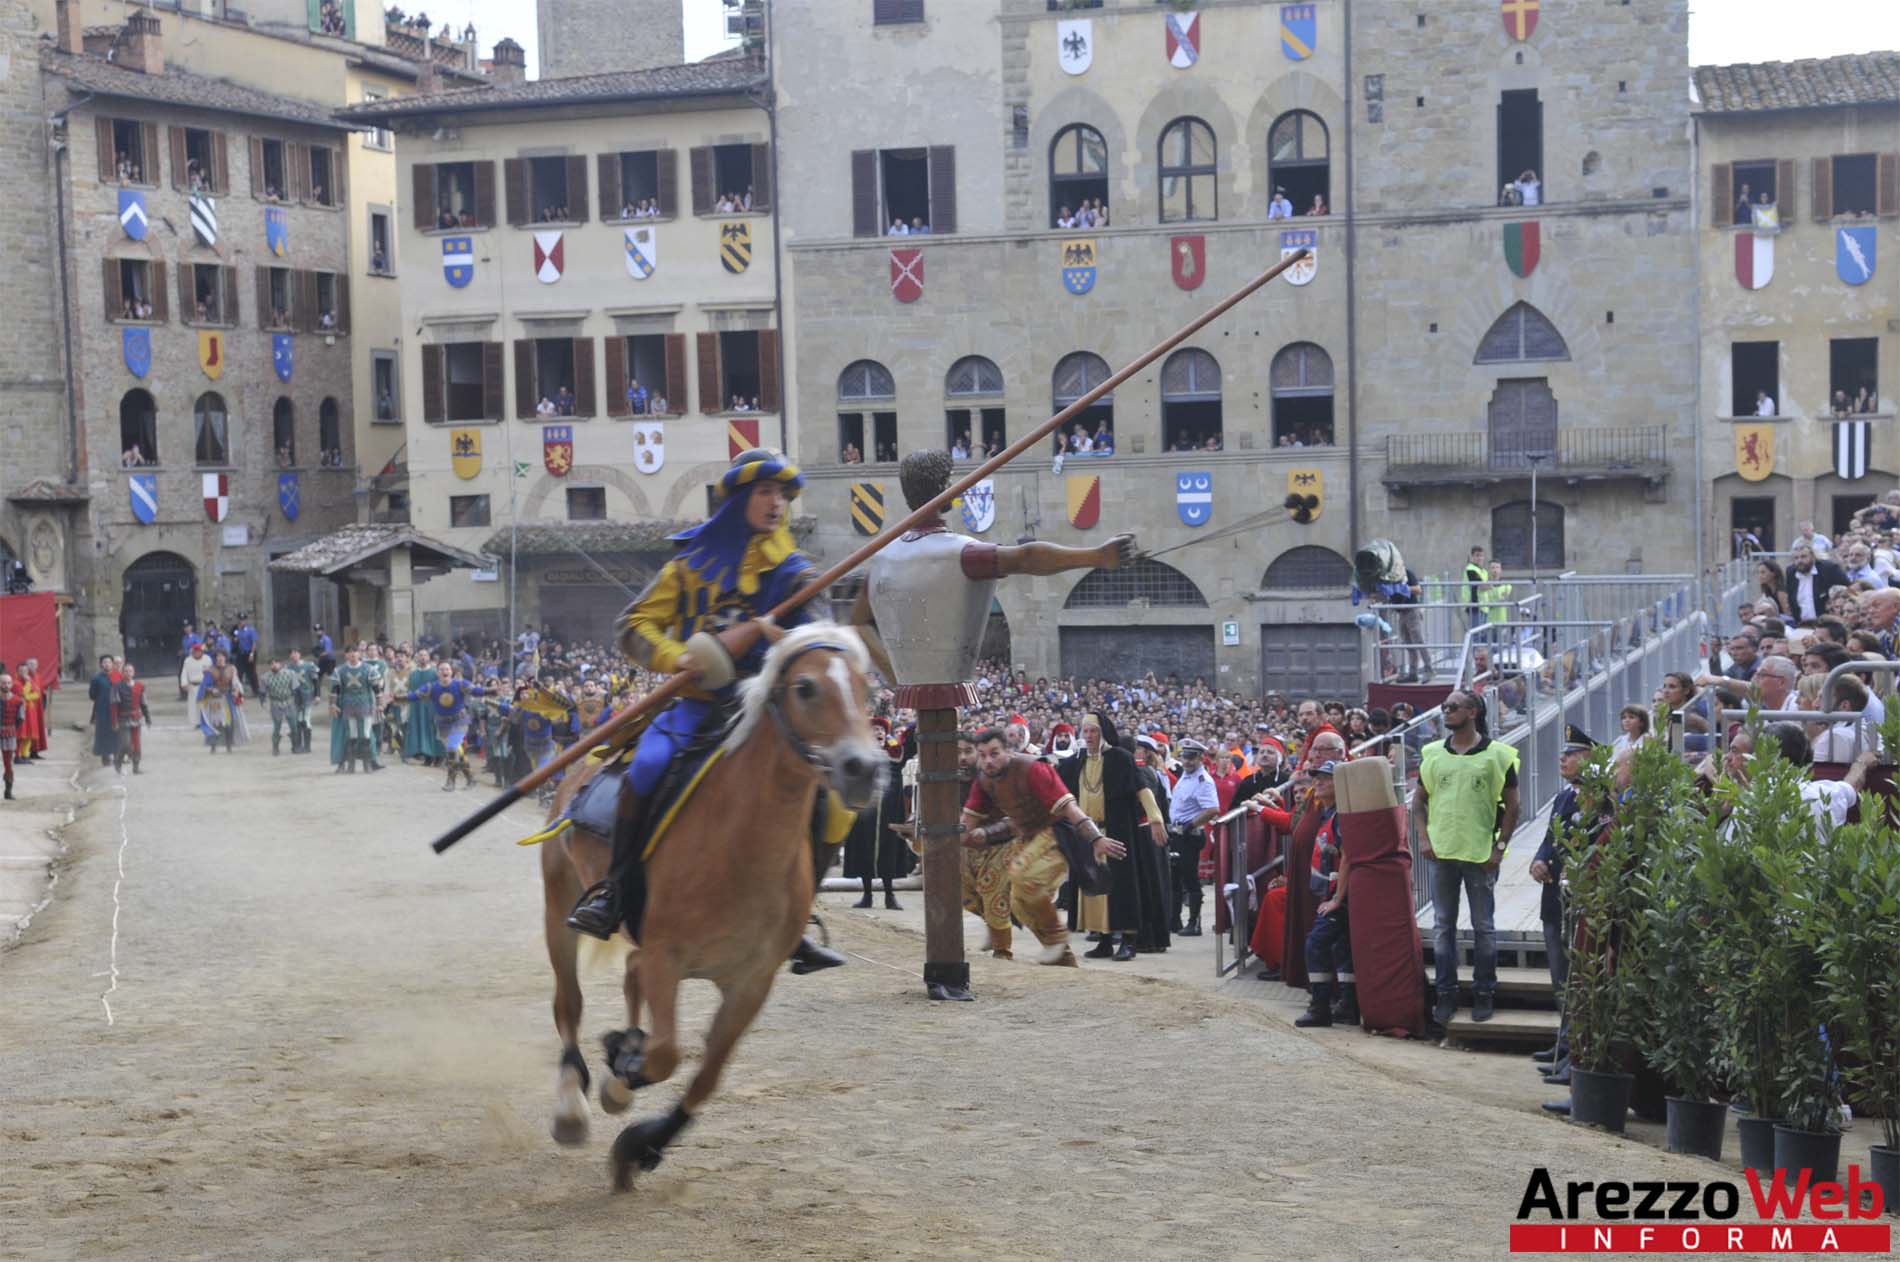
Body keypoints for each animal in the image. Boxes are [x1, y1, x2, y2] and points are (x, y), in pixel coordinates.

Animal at [539, 619, 885, 1185]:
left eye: (866, 689)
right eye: (806, 687)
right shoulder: (667, 958)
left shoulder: (750, 982)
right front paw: (622, 1071)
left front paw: (642, 1142)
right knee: (569, 1002)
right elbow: (665, 1054)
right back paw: (572, 1105)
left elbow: (706, 1077)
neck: (742, 848)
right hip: (558, 903)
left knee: (629, 976)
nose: (864, 769)